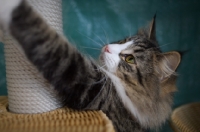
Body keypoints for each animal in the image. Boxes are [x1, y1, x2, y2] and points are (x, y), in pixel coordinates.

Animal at [0, 0, 181, 132]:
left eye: (129, 59)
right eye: (123, 41)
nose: (107, 47)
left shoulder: (84, 80)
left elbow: (44, 37)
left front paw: (10, 6)